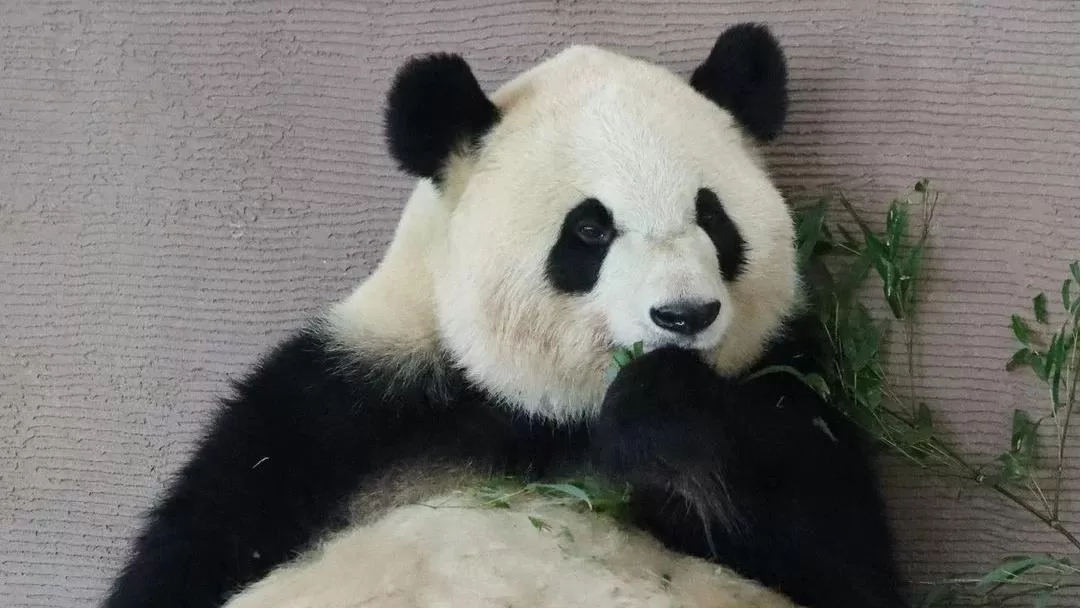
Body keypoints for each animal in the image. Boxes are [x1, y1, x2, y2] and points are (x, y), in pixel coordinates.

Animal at [102, 23, 904, 608]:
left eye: (712, 218)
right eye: (590, 230)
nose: (686, 314)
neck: (553, 415)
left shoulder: (786, 384)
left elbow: (837, 560)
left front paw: (663, 404)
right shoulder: (351, 409)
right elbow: (205, 535)